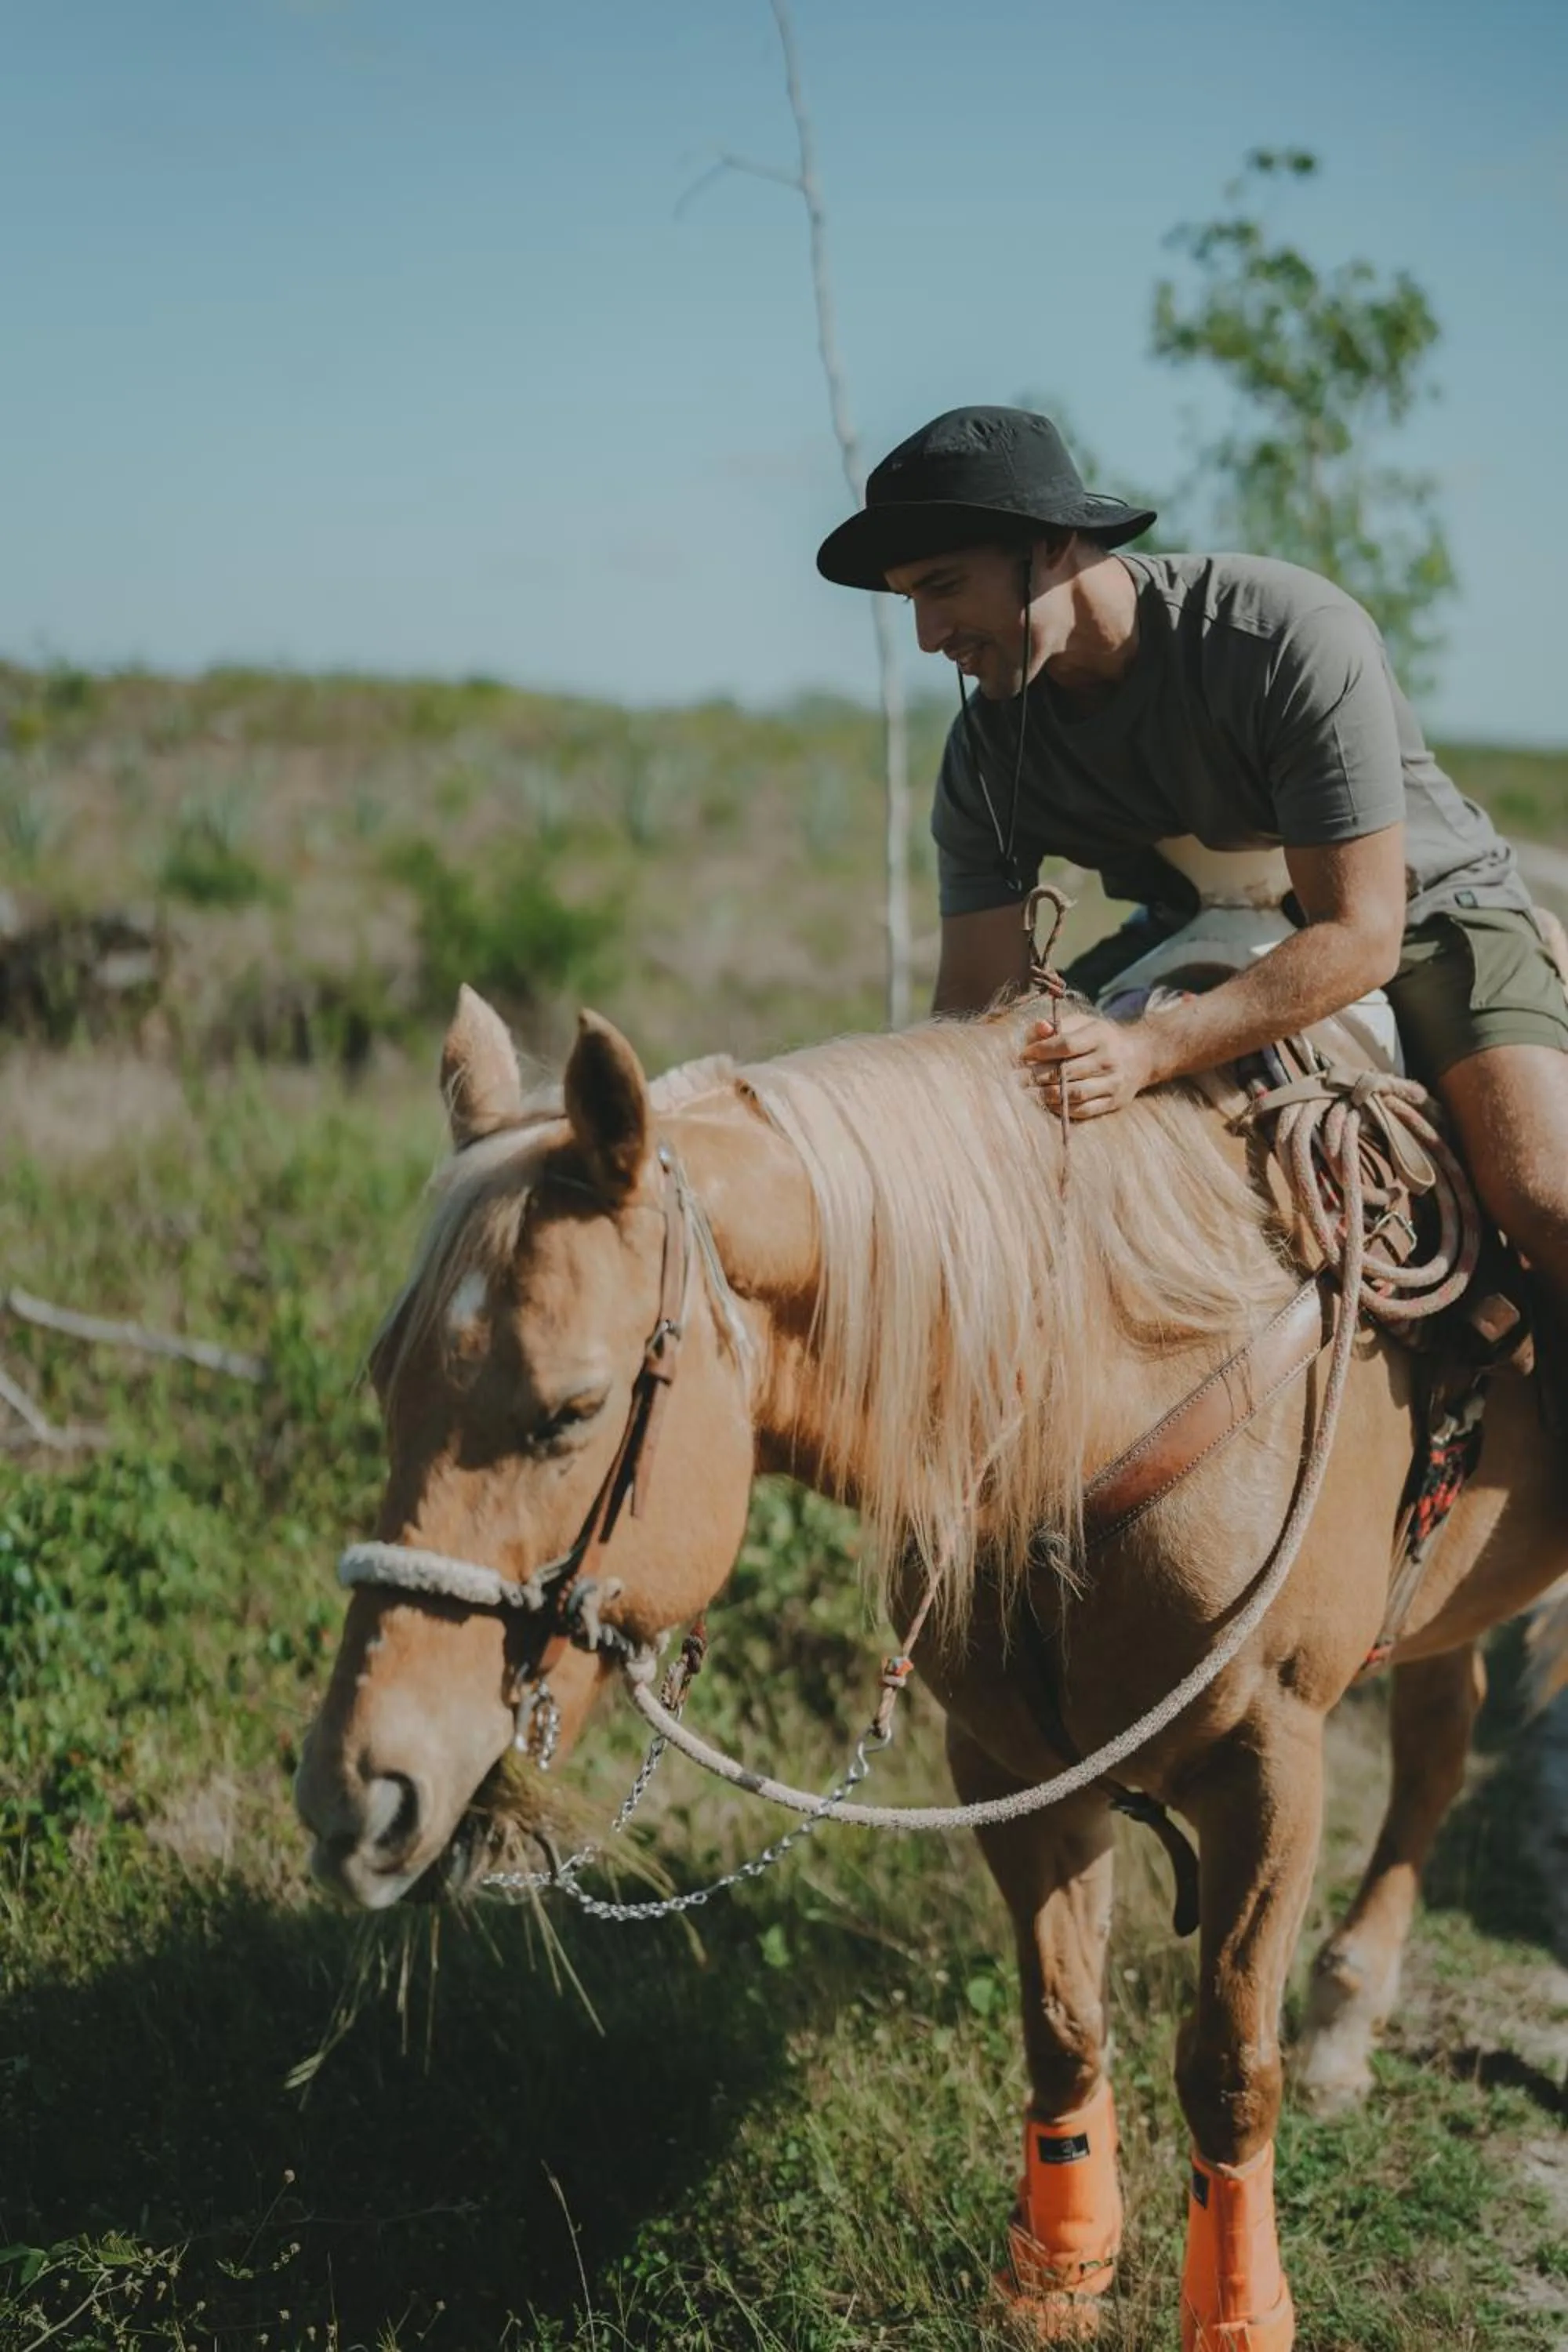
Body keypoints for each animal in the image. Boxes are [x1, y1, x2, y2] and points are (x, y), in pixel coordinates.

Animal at [295, 983, 1568, 2349]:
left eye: (569, 1412)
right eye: (386, 1385)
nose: (357, 1794)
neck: (1100, 1386)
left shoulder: (1267, 1769)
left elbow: (1228, 2067)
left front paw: (1238, 2314)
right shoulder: (1008, 1768)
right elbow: (1063, 2023)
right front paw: (1058, 2274)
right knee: (1441, 1736)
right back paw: (1346, 2016)